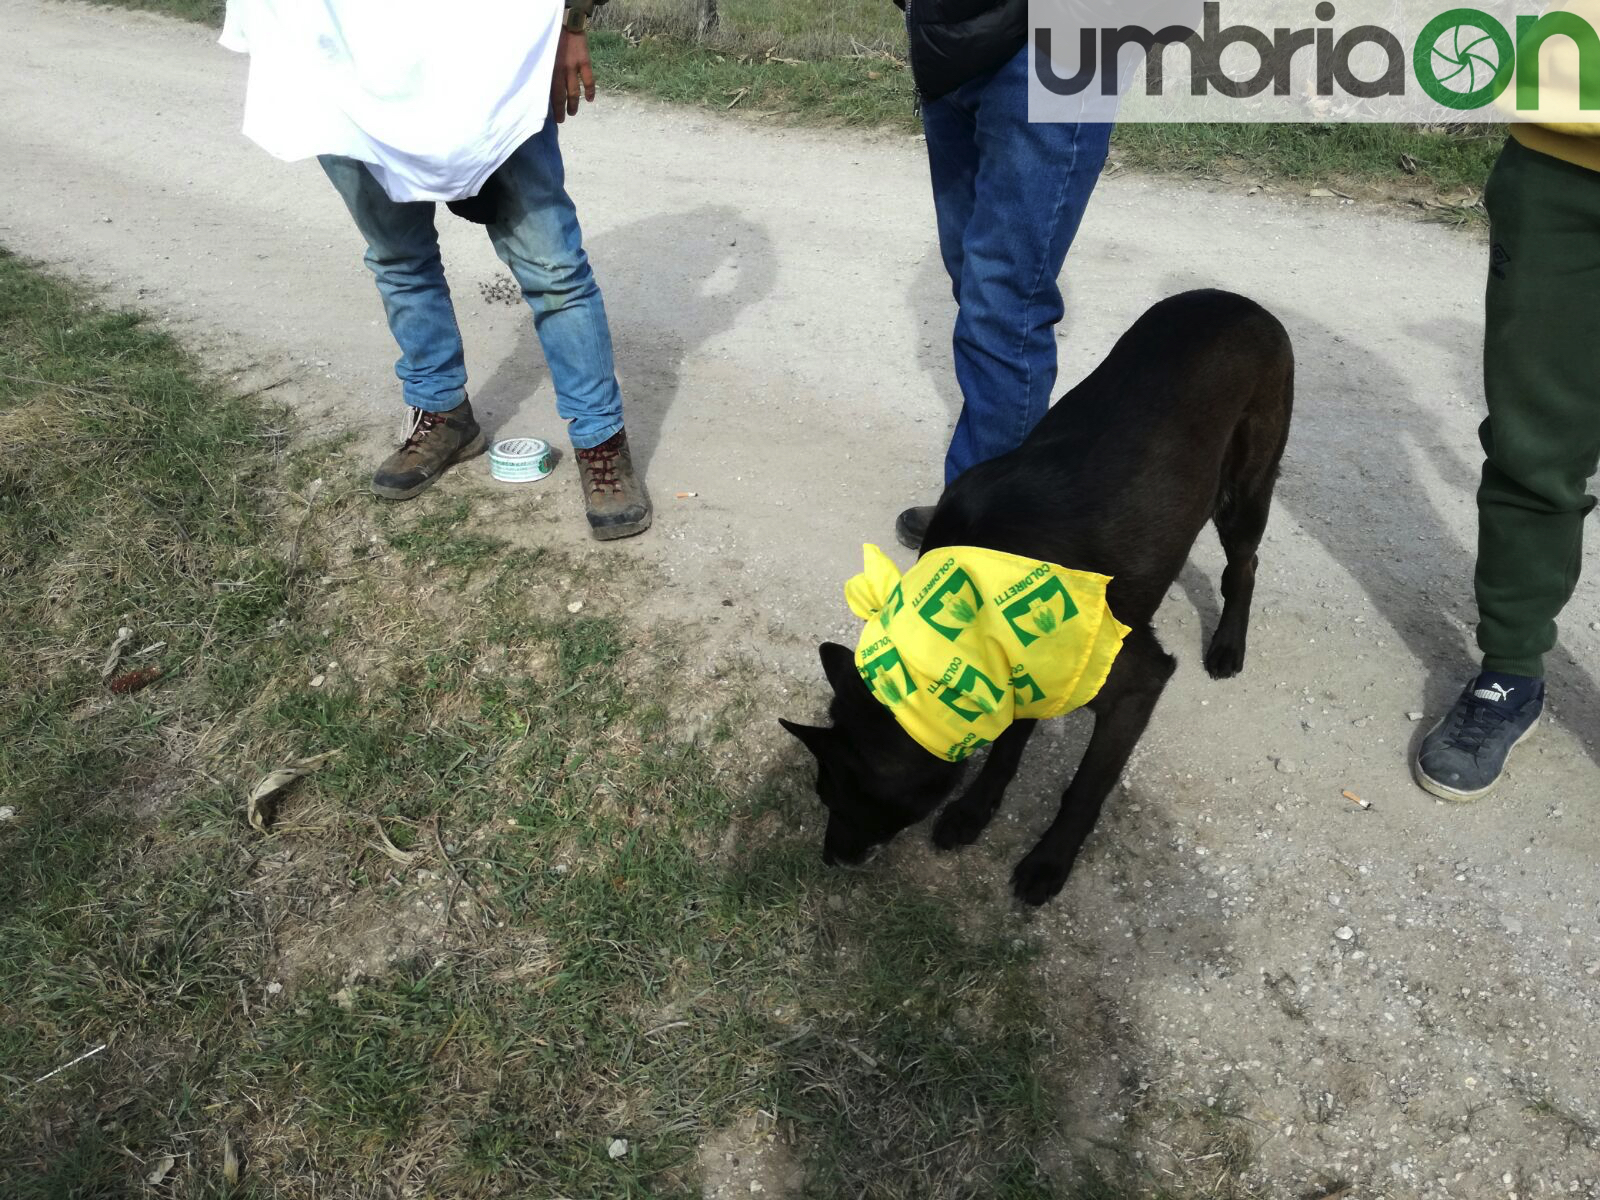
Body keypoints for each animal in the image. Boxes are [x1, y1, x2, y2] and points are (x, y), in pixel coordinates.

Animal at [780, 294, 1292, 908]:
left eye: (836, 798)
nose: (830, 859)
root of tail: (1241, 302)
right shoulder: (1018, 673)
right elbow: (1006, 748)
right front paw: (974, 810)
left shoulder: (1137, 687)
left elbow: (1084, 788)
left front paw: (1050, 861)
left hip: (1245, 493)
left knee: (1244, 565)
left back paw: (1227, 646)